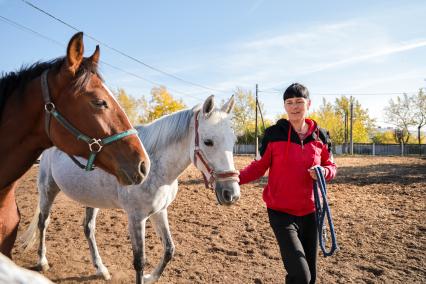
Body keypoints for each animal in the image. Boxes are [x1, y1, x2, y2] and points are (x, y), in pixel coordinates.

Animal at [20, 95, 240, 284]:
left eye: (234, 141)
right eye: (208, 141)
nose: (231, 194)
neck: (154, 165)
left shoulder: (159, 211)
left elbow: (169, 249)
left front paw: (150, 277)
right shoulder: (136, 217)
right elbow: (139, 261)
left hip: (91, 199)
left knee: (88, 229)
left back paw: (101, 269)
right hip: (48, 190)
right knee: (43, 223)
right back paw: (42, 262)